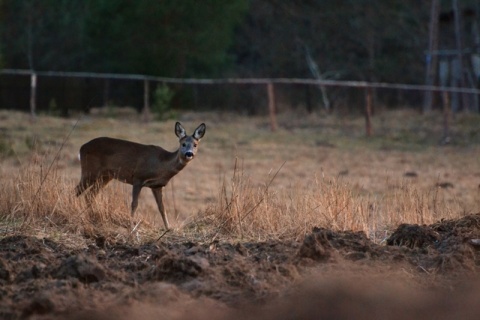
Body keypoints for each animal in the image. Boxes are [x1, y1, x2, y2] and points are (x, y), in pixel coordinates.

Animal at [74, 121, 204, 229]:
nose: (189, 154)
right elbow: (134, 204)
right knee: (77, 190)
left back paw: (92, 215)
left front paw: (169, 228)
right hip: (90, 170)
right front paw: (132, 226)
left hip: (105, 176)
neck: (162, 164)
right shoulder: (138, 178)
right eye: (183, 144)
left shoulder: (157, 186)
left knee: (90, 195)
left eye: (195, 145)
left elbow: (162, 208)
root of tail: (82, 147)